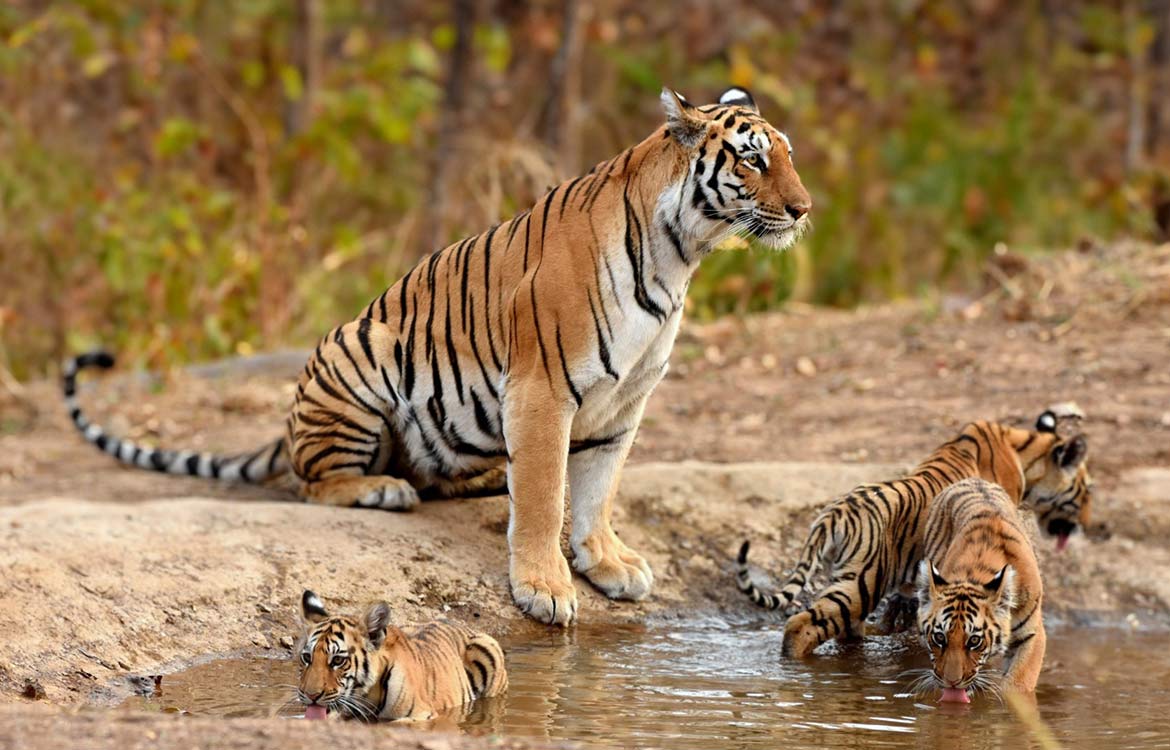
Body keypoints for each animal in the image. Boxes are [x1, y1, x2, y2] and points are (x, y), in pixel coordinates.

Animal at [61, 86, 814, 627]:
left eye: (787, 155)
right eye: (752, 159)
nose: (805, 209)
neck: (681, 253)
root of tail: (288, 422)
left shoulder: (623, 403)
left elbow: (597, 491)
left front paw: (606, 563)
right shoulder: (543, 390)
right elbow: (545, 495)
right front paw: (544, 587)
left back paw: (476, 479)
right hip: (361, 354)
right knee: (315, 481)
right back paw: (378, 489)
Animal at [294, 589, 505, 720]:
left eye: (338, 660)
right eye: (307, 658)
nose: (310, 696)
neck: (366, 697)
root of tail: (458, 623)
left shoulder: (423, 715)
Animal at [734, 407, 1090, 659]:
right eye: (1085, 490)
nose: (1086, 524)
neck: (1021, 449)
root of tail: (837, 510)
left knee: (844, 632)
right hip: (861, 583)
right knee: (801, 625)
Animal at [907, 477, 1048, 697]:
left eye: (974, 641)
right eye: (939, 637)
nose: (951, 682)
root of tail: (973, 479)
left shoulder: (1033, 635)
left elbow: (1018, 683)